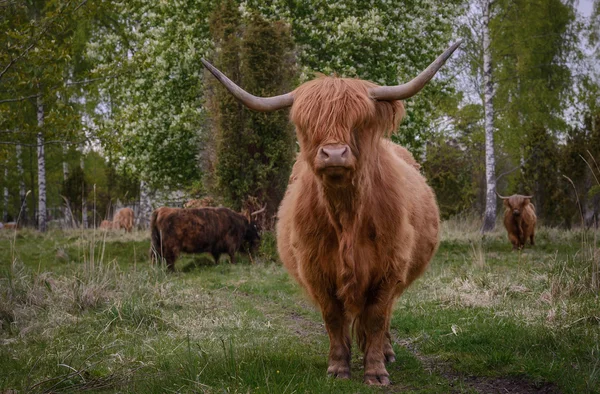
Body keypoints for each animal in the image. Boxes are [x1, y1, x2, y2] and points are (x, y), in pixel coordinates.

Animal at [204, 40, 462, 384]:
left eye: (360, 121)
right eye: (307, 125)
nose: (334, 153)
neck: (346, 217)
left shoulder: (389, 268)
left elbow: (376, 317)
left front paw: (375, 371)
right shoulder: (316, 270)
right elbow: (334, 319)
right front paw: (339, 368)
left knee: (385, 316)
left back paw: (386, 352)